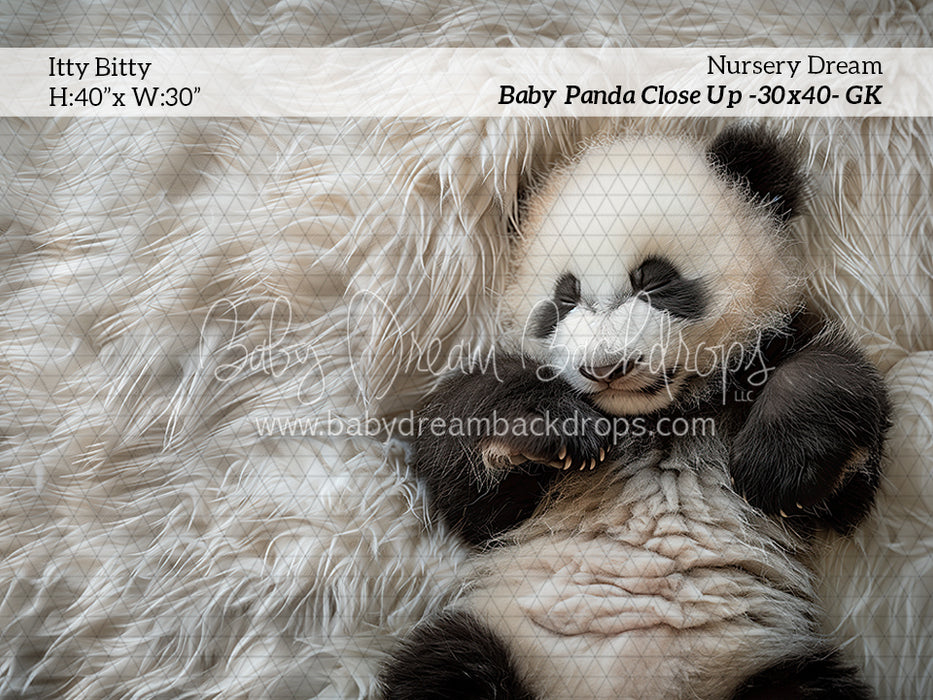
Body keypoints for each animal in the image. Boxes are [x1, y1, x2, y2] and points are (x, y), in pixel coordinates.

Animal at [381, 124, 890, 700]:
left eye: (653, 279)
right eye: (566, 295)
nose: (606, 367)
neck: (659, 417)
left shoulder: (770, 356)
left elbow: (833, 417)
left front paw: (783, 469)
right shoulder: (508, 500)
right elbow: (465, 484)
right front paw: (552, 426)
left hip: (765, 661)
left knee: (809, 686)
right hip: (503, 635)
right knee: (442, 665)